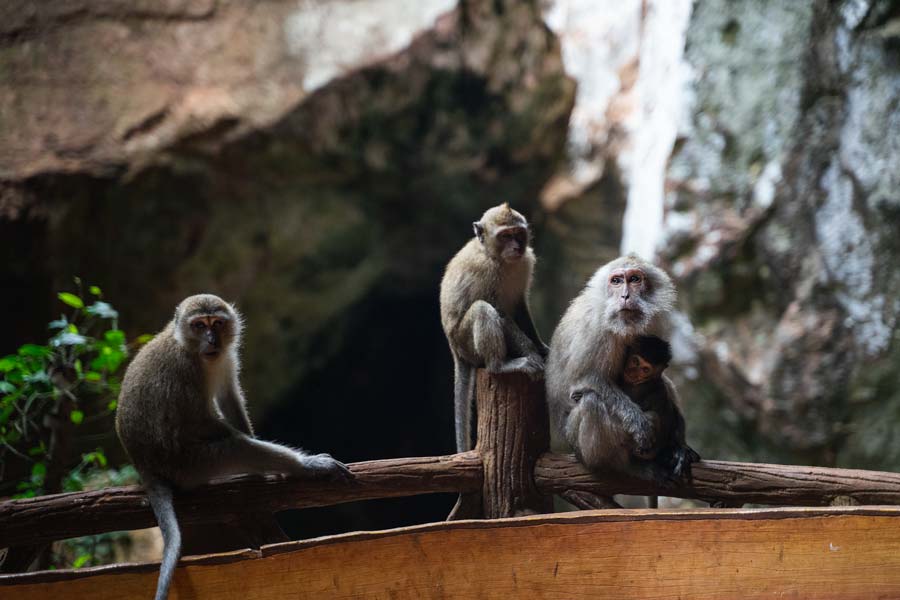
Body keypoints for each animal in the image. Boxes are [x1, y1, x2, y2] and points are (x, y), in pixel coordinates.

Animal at [116, 294, 348, 600]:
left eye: (216, 323)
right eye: (199, 325)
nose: (212, 339)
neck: (190, 348)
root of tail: (145, 467)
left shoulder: (225, 358)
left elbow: (229, 397)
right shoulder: (185, 370)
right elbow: (195, 421)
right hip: (189, 464)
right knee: (238, 448)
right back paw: (303, 466)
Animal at [442, 204, 548, 452]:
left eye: (517, 234)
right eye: (505, 236)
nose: (516, 247)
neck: (495, 256)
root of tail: (455, 351)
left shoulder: (525, 262)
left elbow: (519, 307)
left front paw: (541, 347)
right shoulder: (485, 271)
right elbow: (500, 312)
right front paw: (531, 353)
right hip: (465, 342)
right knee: (482, 309)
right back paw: (499, 365)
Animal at [544, 253, 680, 482]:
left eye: (634, 279)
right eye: (616, 281)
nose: (625, 295)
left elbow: (661, 377)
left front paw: (680, 447)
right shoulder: (596, 330)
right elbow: (585, 380)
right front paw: (638, 422)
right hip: (577, 442)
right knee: (591, 402)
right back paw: (619, 467)